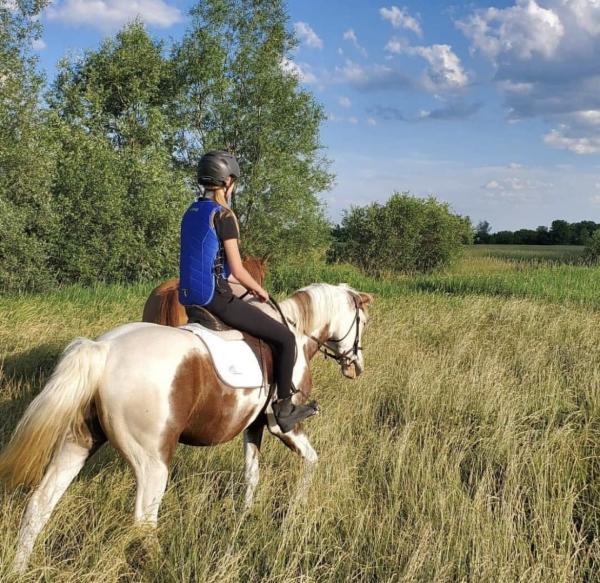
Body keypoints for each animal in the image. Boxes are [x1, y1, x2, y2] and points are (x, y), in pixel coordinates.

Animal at [0, 284, 372, 576]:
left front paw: (246, 518)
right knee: (144, 522)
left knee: (41, 503)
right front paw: (298, 509)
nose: (356, 367)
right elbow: (312, 460)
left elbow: (251, 475)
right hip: (152, 461)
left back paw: (19, 569)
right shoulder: (283, 426)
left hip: (77, 443)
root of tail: (103, 350)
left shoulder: (253, 427)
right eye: (363, 322)